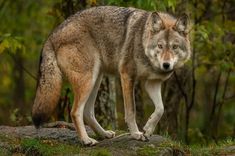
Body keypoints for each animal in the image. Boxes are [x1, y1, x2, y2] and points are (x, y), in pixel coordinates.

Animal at [32, 5, 191, 145]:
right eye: (160, 46)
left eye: (174, 47)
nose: (166, 65)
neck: (142, 41)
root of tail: (52, 35)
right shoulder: (127, 76)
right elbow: (131, 111)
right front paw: (136, 134)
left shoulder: (152, 83)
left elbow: (160, 109)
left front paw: (148, 129)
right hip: (88, 80)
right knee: (75, 112)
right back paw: (86, 140)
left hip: (96, 79)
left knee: (88, 112)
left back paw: (104, 134)